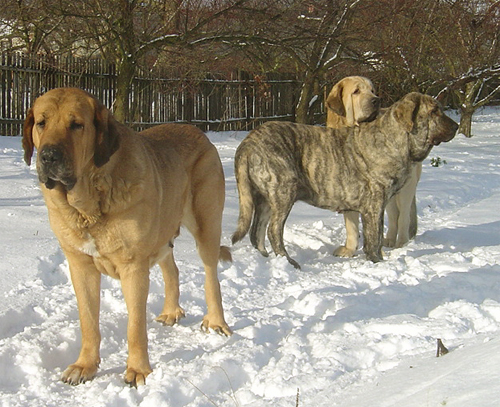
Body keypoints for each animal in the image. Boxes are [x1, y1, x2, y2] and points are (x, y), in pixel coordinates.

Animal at [23, 87, 232, 388]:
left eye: (77, 125)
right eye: (41, 122)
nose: (49, 156)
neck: (88, 201)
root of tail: (199, 133)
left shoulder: (133, 267)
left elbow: (135, 326)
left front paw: (138, 371)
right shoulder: (80, 265)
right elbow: (88, 321)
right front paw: (84, 366)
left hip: (206, 224)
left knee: (210, 274)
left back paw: (216, 322)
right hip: (163, 229)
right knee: (172, 270)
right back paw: (171, 311)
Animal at [328, 77, 422, 256]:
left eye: (372, 91)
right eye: (356, 91)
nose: (376, 100)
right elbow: (351, 225)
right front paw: (349, 249)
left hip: (406, 187)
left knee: (403, 215)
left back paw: (402, 243)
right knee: (393, 215)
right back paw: (390, 239)